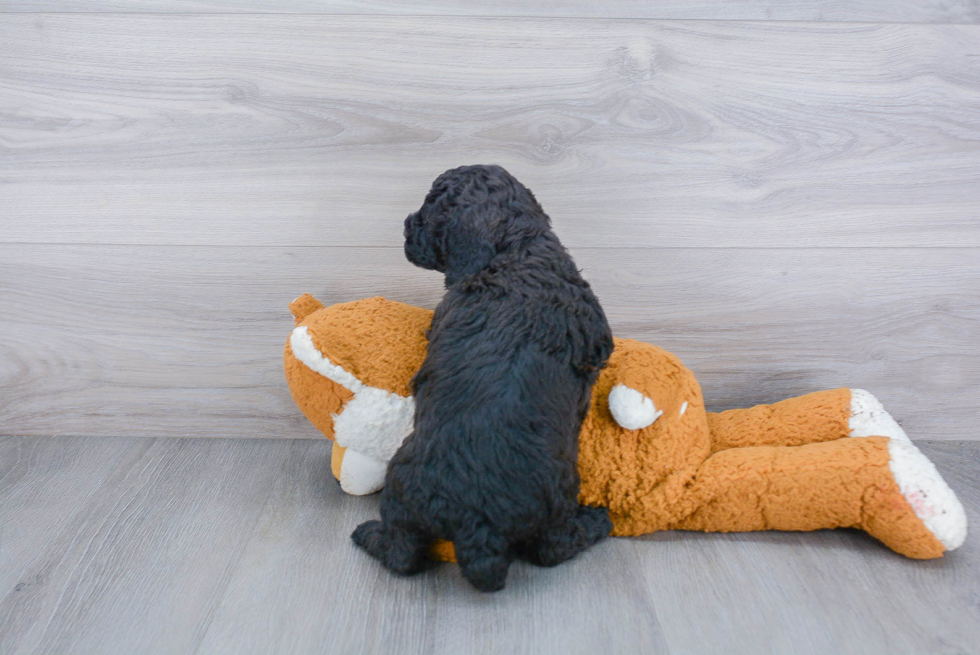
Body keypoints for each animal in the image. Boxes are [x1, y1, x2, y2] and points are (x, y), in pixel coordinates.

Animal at [352, 165, 612, 596]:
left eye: (430, 207)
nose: (405, 225)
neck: (516, 251)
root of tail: (477, 523)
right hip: (558, 497)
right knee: (553, 549)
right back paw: (597, 521)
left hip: (401, 490)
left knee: (402, 554)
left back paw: (368, 534)